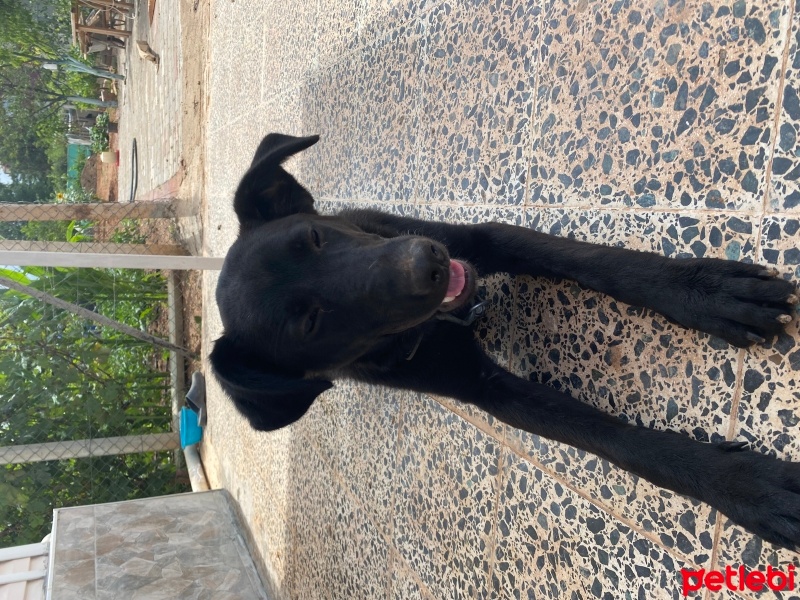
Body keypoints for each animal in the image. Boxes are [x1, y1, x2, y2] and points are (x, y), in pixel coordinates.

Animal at [211, 134, 800, 552]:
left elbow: (607, 263)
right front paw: (749, 488)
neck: (442, 321)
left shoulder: (480, 240)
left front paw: (706, 291)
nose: (427, 264)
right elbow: (622, 444)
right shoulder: (488, 388)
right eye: (311, 324)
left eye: (314, 237)